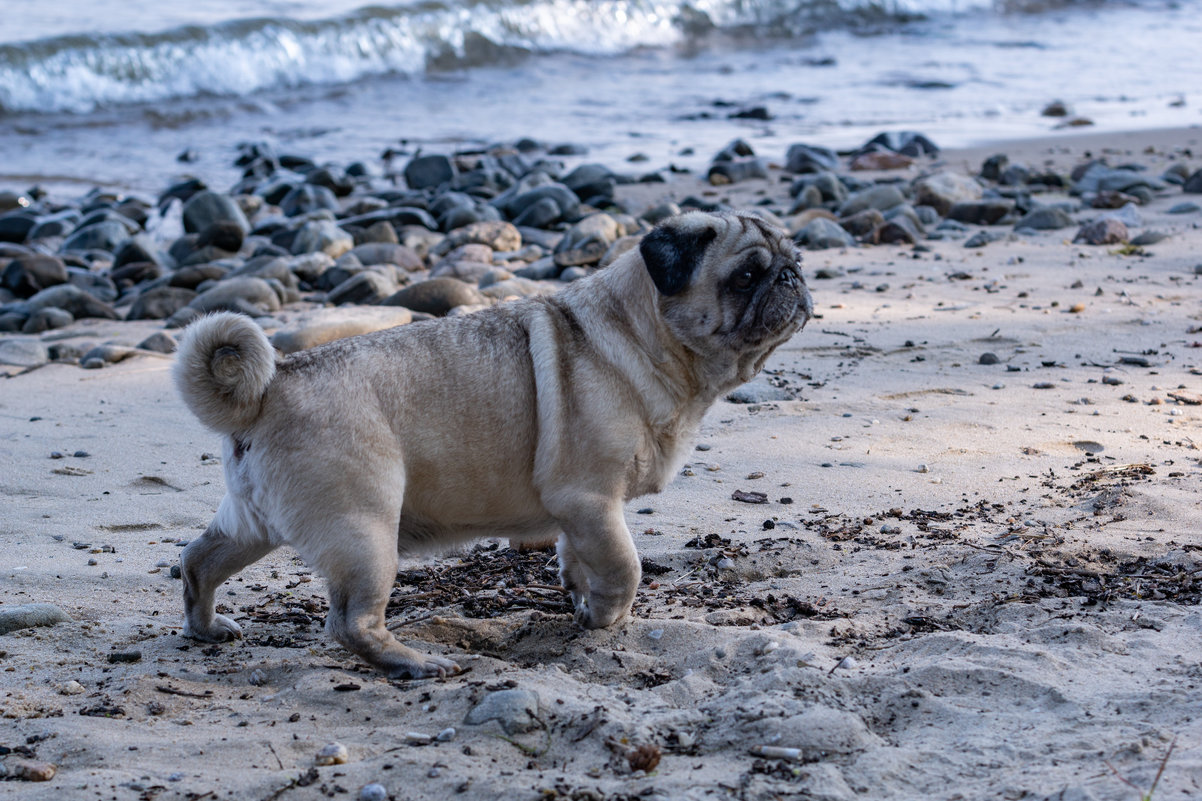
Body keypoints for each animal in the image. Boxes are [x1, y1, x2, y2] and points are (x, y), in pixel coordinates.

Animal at [174, 209, 812, 678]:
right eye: (747, 276)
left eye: (794, 260)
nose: (792, 277)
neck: (639, 334)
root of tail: (271, 386)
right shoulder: (591, 499)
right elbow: (623, 567)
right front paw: (604, 618)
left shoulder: (580, 514)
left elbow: (579, 558)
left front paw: (579, 599)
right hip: (364, 531)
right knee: (351, 623)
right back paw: (414, 663)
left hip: (253, 522)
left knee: (198, 560)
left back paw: (207, 627)